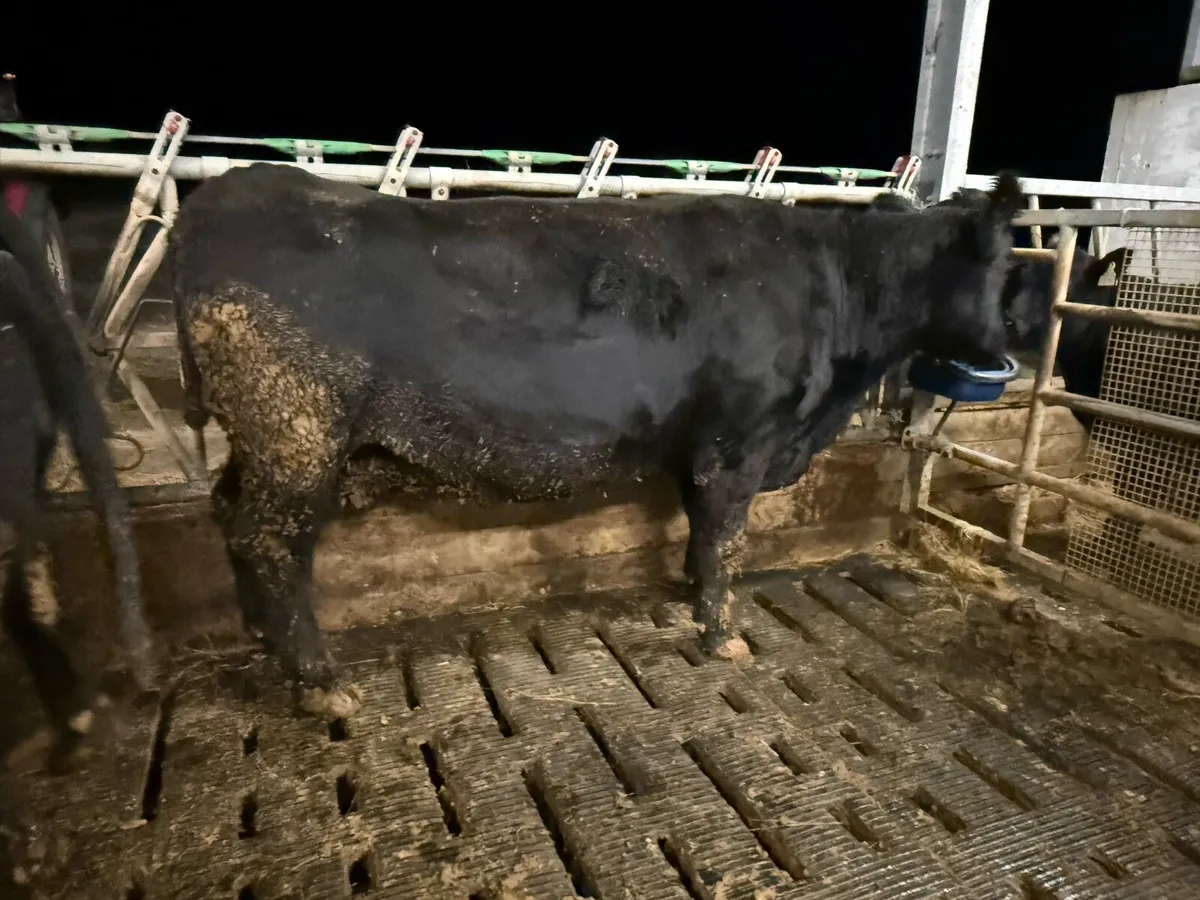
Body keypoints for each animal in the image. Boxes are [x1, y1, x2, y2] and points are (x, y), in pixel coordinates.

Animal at [169, 163, 1025, 720]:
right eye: (1007, 263)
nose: (1017, 338)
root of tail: (225, 196)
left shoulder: (703, 450)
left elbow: (699, 535)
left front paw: (687, 598)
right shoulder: (739, 443)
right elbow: (726, 542)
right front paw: (724, 637)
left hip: (267, 444)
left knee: (230, 517)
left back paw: (265, 641)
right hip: (297, 434)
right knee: (272, 543)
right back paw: (322, 684)